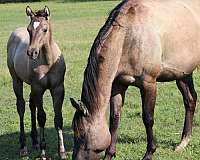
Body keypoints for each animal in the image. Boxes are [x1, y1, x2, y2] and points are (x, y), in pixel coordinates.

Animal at [7, 5, 66, 159]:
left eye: (44, 29)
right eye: (29, 30)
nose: (31, 52)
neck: (49, 62)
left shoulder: (58, 89)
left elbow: (58, 118)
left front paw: (62, 151)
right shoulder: (38, 89)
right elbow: (42, 117)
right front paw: (43, 151)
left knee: (31, 104)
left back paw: (34, 141)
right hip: (17, 80)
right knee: (21, 106)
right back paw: (24, 146)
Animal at [70, 0, 200, 159]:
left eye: (82, 135)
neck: (128, 35)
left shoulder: (149, 84)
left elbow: (148, 118)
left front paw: (149, 152)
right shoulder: (118, 85)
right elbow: (115, 118)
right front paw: (110, 154)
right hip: (182, 73)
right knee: (190, 100)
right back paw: (183, 142)